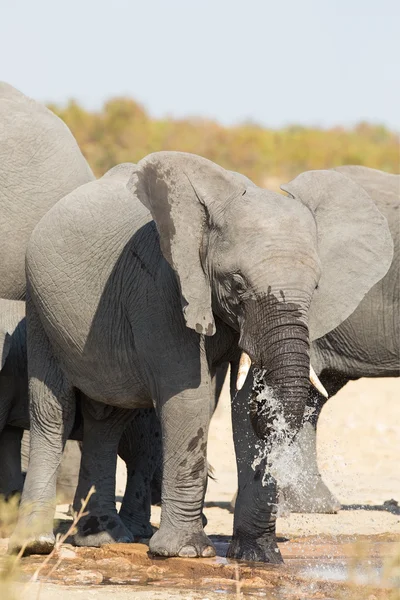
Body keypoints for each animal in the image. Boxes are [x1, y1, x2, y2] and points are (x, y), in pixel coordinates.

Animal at [10, 151, 392, 564]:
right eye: (237, 283)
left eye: (317, 287)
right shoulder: (161, 287)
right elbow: (188, 399)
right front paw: (186, 552)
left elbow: (242, 404)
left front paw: (258, 556)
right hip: (39, 309)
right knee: (54, 411)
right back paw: (35, 543)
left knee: (107, 417)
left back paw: (101, 538)